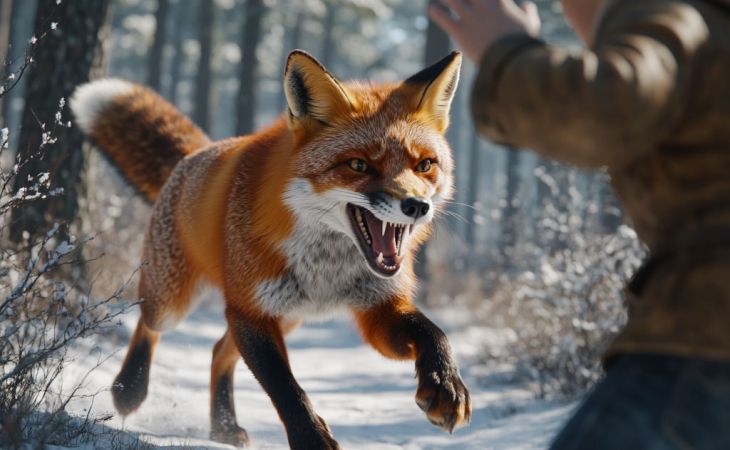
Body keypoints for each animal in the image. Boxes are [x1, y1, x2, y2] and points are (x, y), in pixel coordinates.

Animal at [70, 50, 470, 449]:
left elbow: (432, 333)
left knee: (219, 352)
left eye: (425, 165)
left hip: (286, 317)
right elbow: (285, 387)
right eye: (358, 164)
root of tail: (197, 154)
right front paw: (312, 439)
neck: (328, 269)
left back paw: (224, 426)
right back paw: (130, 388)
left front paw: (446, 386)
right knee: (149, 322)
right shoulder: (251, 311)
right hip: (176, 301)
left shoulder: (378, 308)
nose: (417, 206)